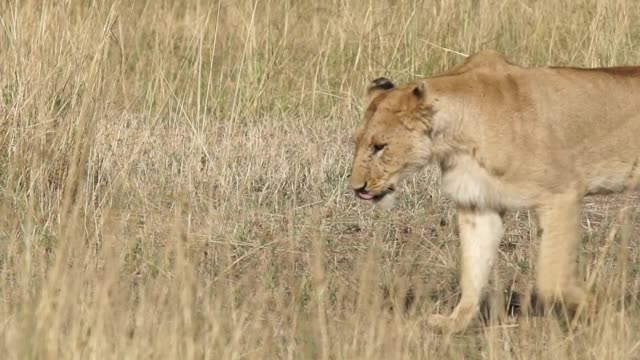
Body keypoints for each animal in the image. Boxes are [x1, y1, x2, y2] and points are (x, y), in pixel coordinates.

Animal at [350, 49, 640, 334]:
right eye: (356, 143)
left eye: (379, 146)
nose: (357, 188)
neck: (455, 140)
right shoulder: (478, 205)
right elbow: (473, 271)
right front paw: (455, 323)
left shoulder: (561, 195)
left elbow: (552, 280)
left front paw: (610, 316)